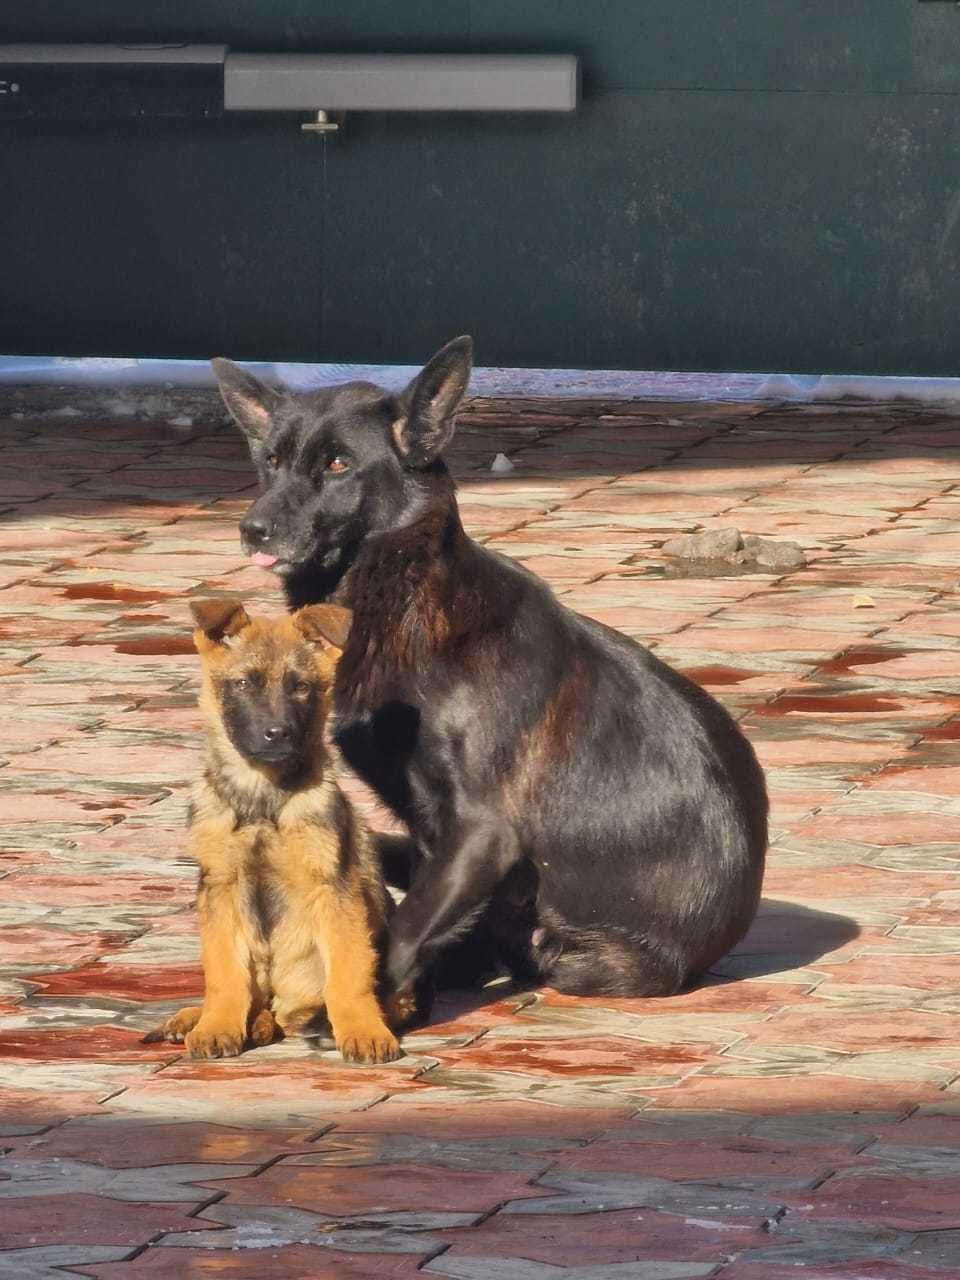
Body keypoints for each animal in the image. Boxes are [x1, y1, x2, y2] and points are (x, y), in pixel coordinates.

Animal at [144, 599, 412, 1059]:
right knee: (253, 999)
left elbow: (348, 975)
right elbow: (224, 974)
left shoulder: (334, 887)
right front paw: (217, 1025)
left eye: (300, 687)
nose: (278, 733)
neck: (262, 800)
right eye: (243, 684)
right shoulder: (220, 888)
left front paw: (362, 1030)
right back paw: (202, 1018)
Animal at [213, 337, 773, 998]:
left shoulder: (481, 832)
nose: (252, 529)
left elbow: (403, 927)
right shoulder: (430, 828)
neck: (403, 599)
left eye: (338, 464)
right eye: (271, 461)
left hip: (575, 953)